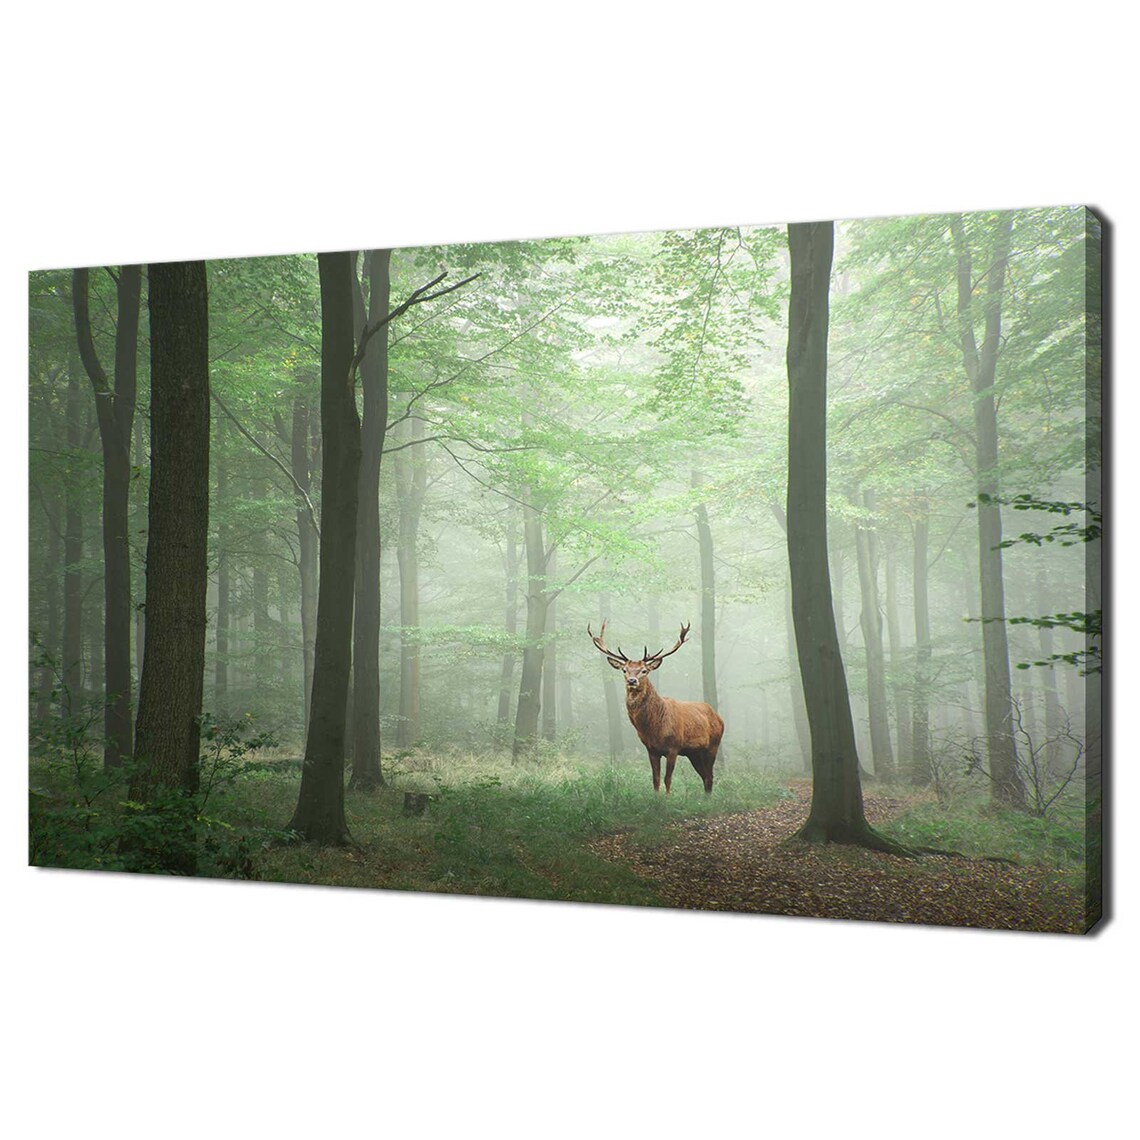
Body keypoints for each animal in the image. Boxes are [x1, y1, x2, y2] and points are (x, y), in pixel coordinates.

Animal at [589, 620, 723, 794]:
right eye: (625, 670)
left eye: (644, 670)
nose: (632, 681)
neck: (654, 728)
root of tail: (719, 717)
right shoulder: (651, 749)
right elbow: (655, 779)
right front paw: (655, 798)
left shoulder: (673, 747)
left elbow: (667, 779)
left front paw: (666, 799)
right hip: (694, 753)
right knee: (705, 777)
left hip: (713, 745)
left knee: (710, 777)